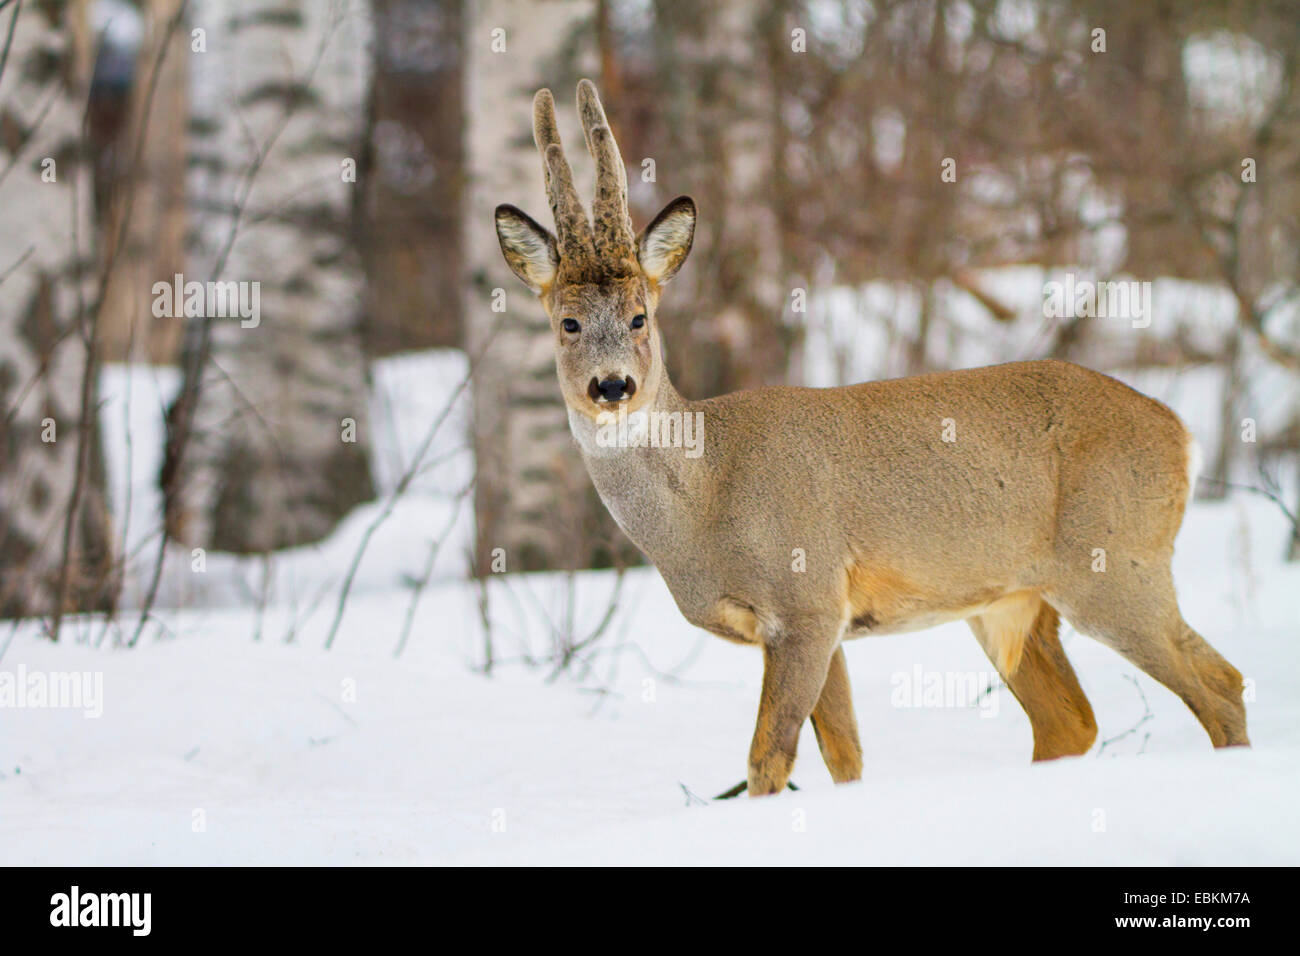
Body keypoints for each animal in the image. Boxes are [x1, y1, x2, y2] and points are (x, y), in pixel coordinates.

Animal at [491, 83, 1242, 801]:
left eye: (640, 316)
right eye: (567, 323)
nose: (612, 386)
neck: (706, 500)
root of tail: (1180, 433)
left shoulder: (806, 597)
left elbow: (769, 757)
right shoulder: (829, 622)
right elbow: (844, 755)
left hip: (1116, 560)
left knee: (1220, 684)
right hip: (1014, 601)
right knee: (1071, 721)